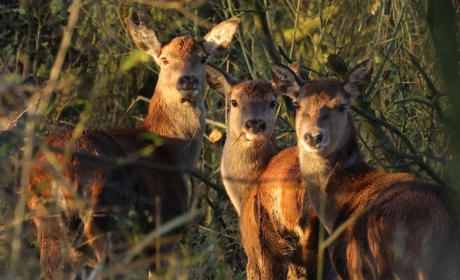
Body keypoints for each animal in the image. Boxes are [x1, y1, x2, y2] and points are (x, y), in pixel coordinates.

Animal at [27, 16, 241, 278]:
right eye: (165, 59)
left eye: (203, 58)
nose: (187, 80)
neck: (170, 153)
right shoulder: (166, 228)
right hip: (111, 220)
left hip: (48, 224)